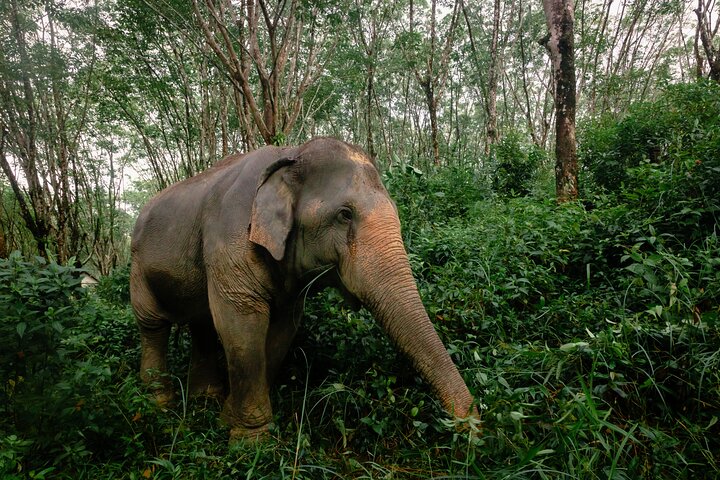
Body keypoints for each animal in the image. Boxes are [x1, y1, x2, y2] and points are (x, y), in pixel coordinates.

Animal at [130, 137, 477, 441]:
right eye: (344, 215)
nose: (470, 426)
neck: (291, 153)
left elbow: (283, 329)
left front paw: (227, 418)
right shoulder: (229, 241)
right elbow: (241, 324)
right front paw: (250, 442)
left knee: (200, 322)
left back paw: (204, 400)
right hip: (137, 265)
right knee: (153, 324)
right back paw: (157, 405)